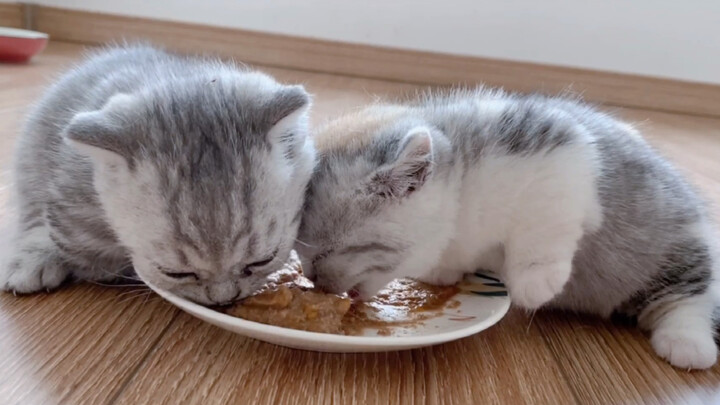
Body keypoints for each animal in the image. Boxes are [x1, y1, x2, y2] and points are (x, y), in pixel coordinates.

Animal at [0, 45, 316, 304]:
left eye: (263, 261)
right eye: (175, 274)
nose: (224, 299)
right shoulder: (72, 193)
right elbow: (69, 235)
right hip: (31, 154)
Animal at [298, 89, 720, 370]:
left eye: (326, 252)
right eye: (301, 256)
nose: (316, 282)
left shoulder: (563, 149)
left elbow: (543, 221)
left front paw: (536, 279)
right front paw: (445, 270)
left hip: (677, 241)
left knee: (689, 295)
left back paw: (687, 341)